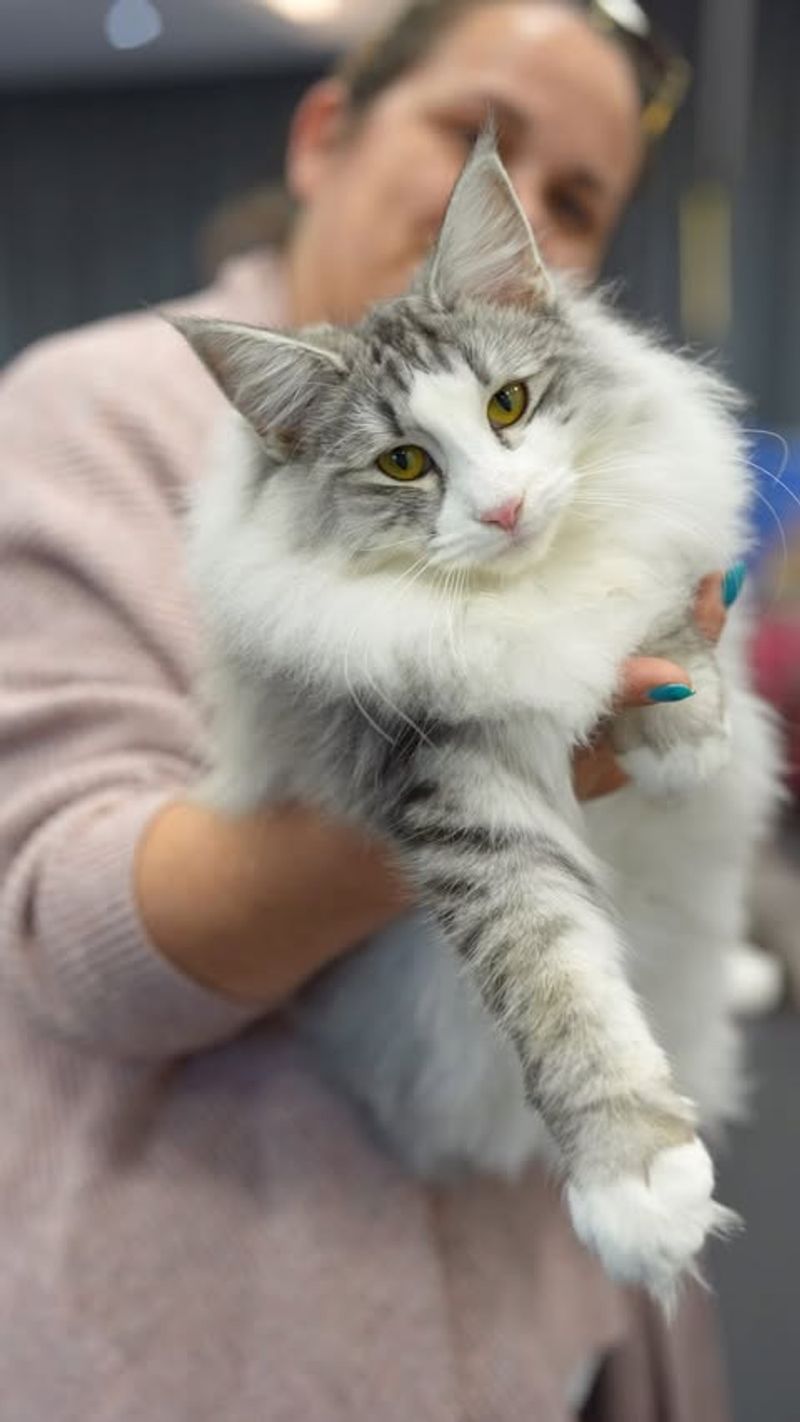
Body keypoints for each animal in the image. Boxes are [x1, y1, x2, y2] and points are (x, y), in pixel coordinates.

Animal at [174, 135, 784, 1308]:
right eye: (404, 463)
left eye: (507, 406)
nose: (501, 511)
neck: (519, 596)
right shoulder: (453, 781)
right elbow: (552, 977)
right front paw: (637, 1187)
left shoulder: (654, 554)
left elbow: (652, 611)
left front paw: (683, 734)